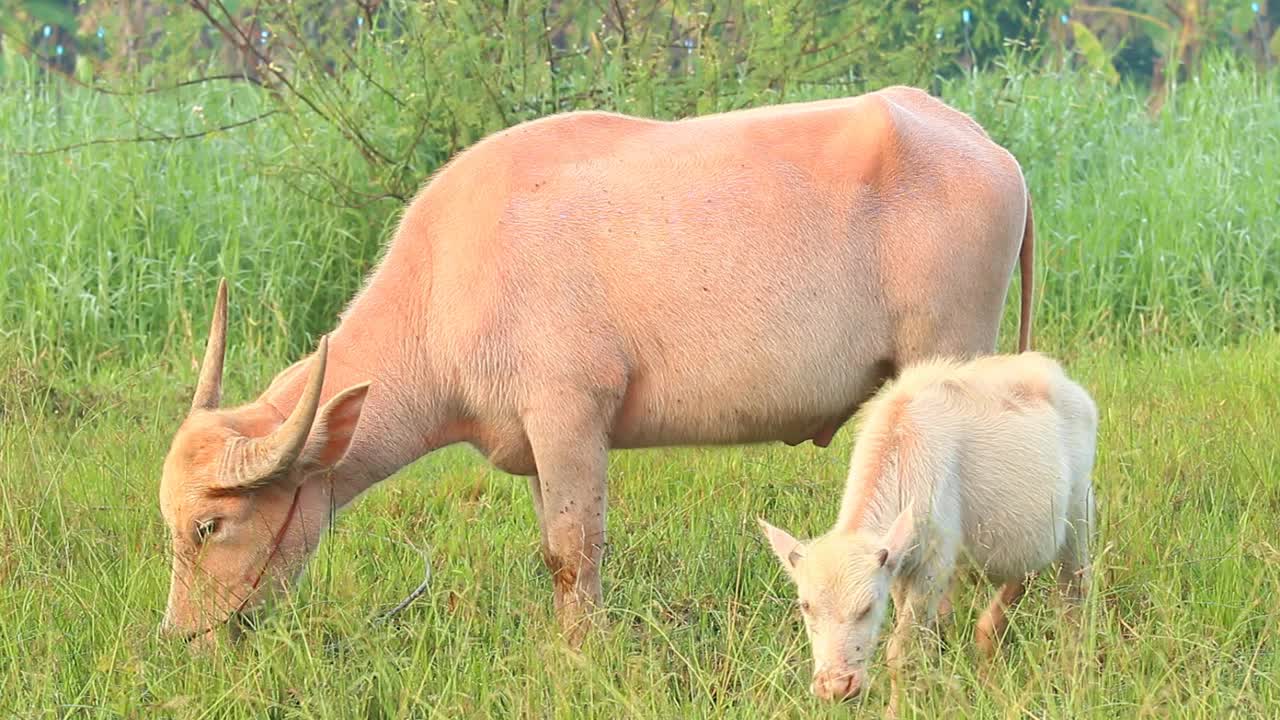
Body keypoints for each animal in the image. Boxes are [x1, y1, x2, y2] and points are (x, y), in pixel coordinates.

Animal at [162, 85, 1039, 645]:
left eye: (209, 527)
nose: (181, 638)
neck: (446, 284)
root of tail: (991, 149)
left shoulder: (569, 412)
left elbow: (572, 550)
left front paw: (582, 658)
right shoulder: (540, 441)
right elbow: (556, 549)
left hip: (946, 355)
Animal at [757, 351, 1100, 702]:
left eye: (867, 607)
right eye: (806, 606)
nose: (836, 687)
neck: (903, 448)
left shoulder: (933, 566)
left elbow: (902, 652)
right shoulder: (899, 568)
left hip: (1079, 510)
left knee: (1074, 593)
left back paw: (1073, 671)